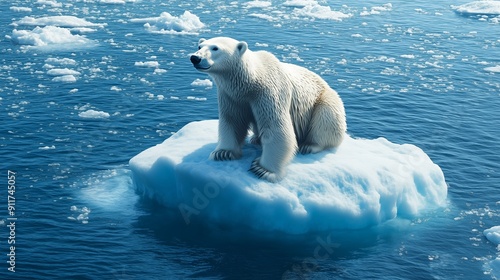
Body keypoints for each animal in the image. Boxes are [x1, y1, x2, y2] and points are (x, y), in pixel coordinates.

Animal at [189, 36, 346, 182]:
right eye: (199, 46)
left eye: (215, 48)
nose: (195, 58)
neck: (251, 82)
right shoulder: (231, 96)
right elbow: (232, 120)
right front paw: (223, 153)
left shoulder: (268, 92)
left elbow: (275, 128)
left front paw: (263, 169)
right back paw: (256, 139)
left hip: (324, 100)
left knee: (326, 118)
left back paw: (309, 145)